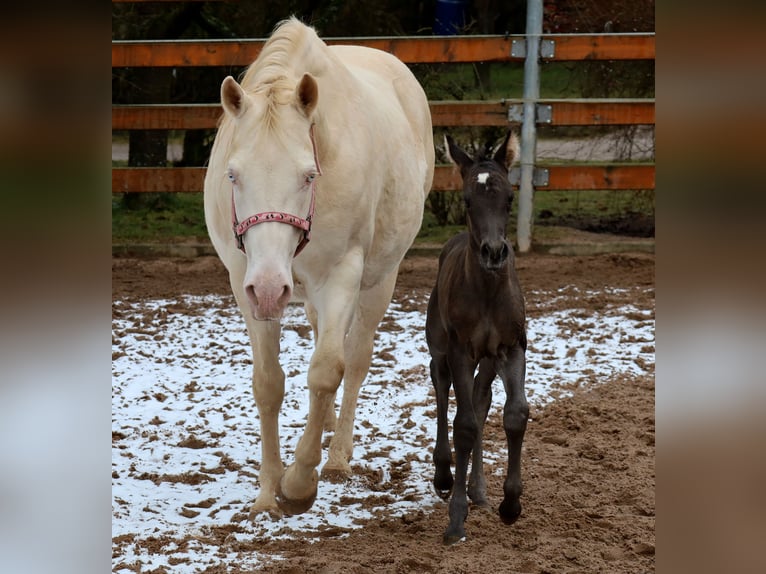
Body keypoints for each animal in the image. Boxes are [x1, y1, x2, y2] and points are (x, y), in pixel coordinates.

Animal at [204, 19, 436, 520]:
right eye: (232, 175)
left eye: (309, 175)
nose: (269, 288)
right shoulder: (243, 281)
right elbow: (269, 383)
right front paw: (266, 494)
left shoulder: (341, 275)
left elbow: (330, 369)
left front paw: (298, 483)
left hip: (379, 279)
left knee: (357, 358)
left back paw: (337, 455)